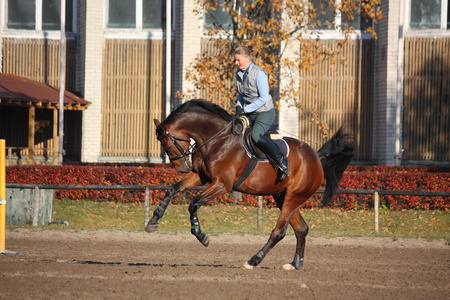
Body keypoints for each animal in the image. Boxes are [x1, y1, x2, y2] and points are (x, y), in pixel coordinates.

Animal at [146, 99, 354, 270]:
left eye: (167, 144)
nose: (182, 168)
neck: (217, 139)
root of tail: (316, 157)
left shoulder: (222, 184)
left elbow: (194, 204)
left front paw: (201, 235)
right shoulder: (200, 177)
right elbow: (172, 189)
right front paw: (153, 221)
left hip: (294, 197)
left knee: (279, 232)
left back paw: (254, 260)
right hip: (282, 196)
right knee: (301, 229)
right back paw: (295, 263)